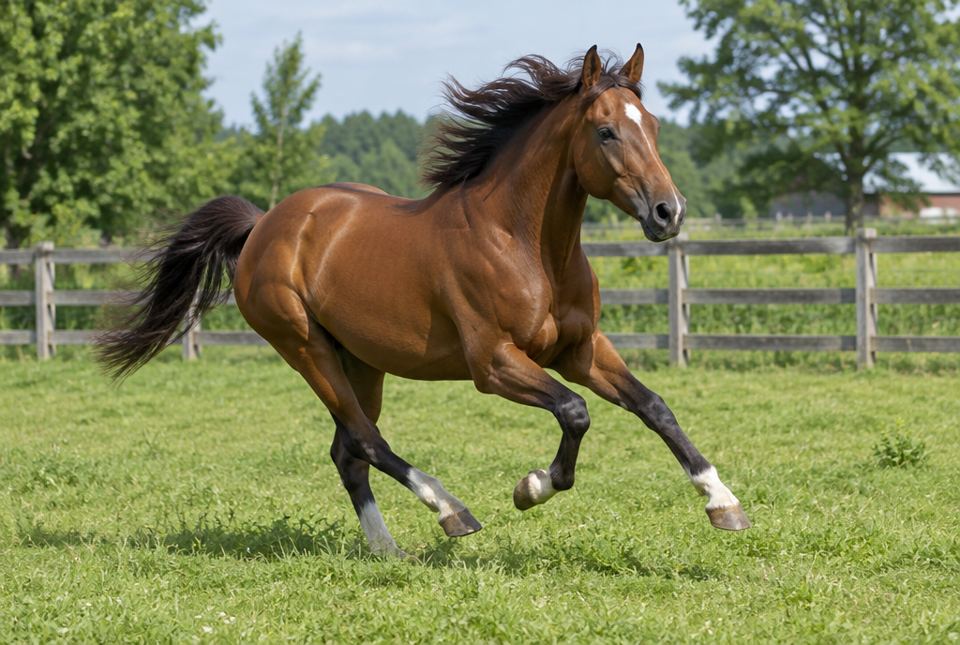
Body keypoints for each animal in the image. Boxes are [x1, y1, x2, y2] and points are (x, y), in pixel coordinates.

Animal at [97, 45, 750, 558]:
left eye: (655, 126)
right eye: (606, 131)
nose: (669, 213)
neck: (524, 243)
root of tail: (264, 226)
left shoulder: (580, 349)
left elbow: (654, 407)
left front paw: (723, 502)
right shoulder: (493, 364)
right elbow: (574, 412)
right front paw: (531, 488)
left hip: (362, 360)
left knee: (347, 450)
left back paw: (387, 549)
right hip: (304, 347)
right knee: (366, 440)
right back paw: (450, 512)